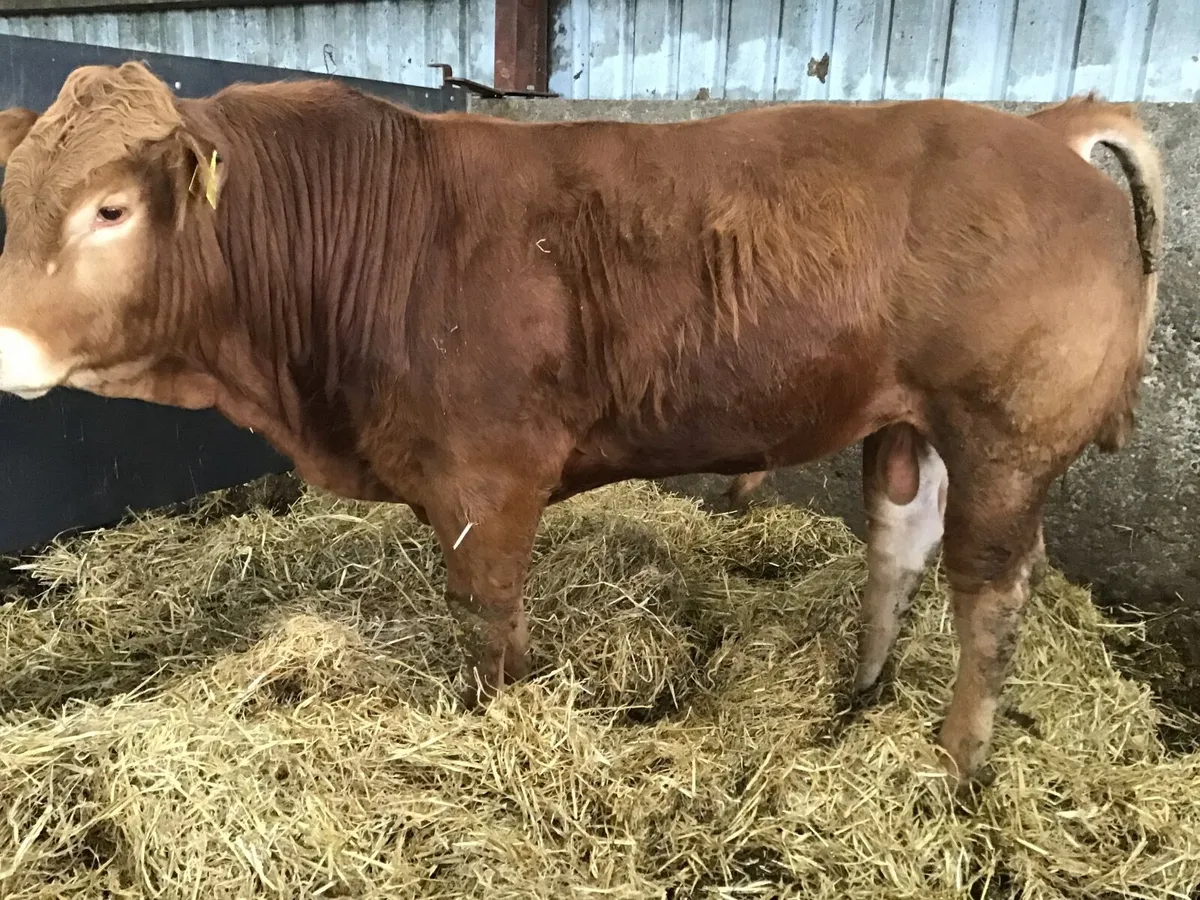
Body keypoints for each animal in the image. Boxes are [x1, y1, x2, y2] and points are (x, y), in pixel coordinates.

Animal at [0, 62, 1162, 786]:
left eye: (111, 209)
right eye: (11, 204)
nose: (6, 343)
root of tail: (1038, 129)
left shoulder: (487, 477)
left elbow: (493, 623)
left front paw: (495, 726)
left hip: (1005, 435)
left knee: (990, 589)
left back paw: (959, 761)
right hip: (909, 423)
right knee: (901, 543)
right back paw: (859, 693)